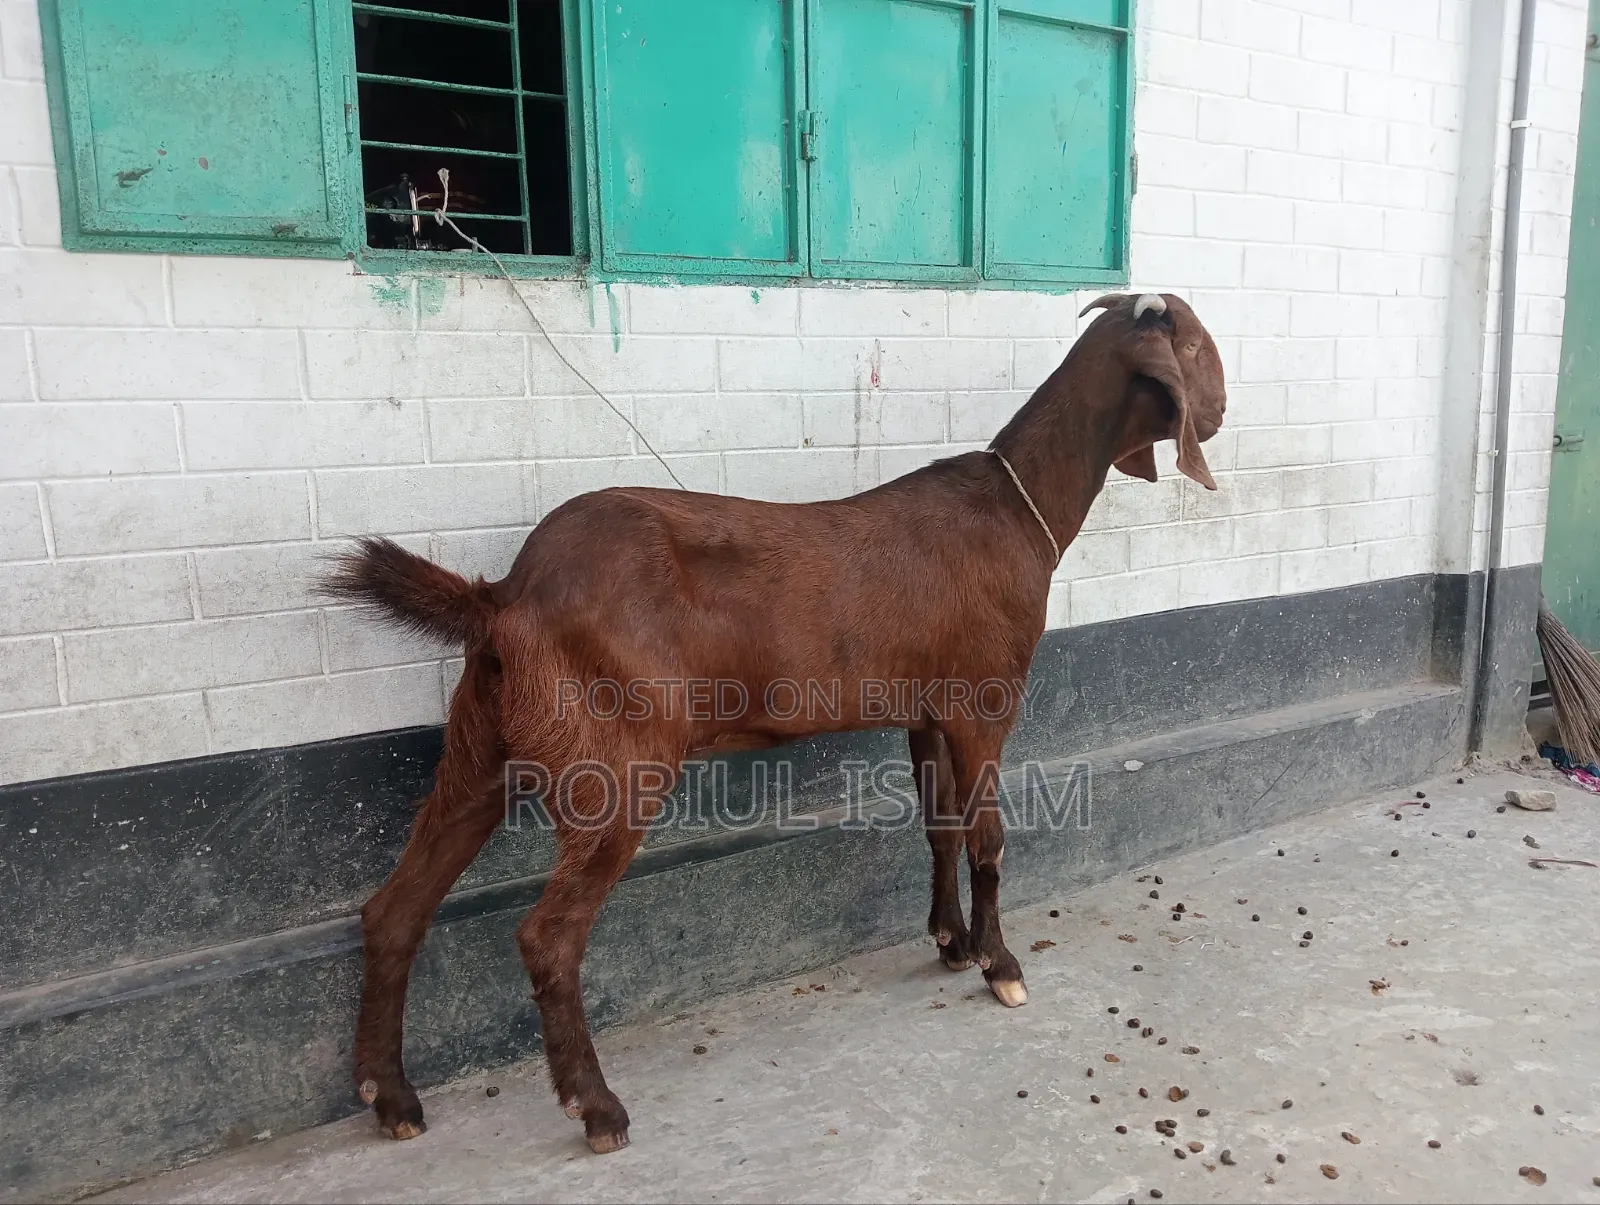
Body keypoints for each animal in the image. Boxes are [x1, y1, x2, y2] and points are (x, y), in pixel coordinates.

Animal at [321, 291, 1227, 1154]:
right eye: (1192, 345)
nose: (1218, 412)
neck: (1017, 506)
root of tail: (508, 595)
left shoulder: (926, 707)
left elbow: (938, 828)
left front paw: (950, 940)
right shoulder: (984, 698)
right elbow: (987, 840)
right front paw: (1001, 965)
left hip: (483, 746)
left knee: (394, 909)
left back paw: (391, 1097)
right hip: (614, 758)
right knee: (547, 935)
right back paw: (597, 1106)